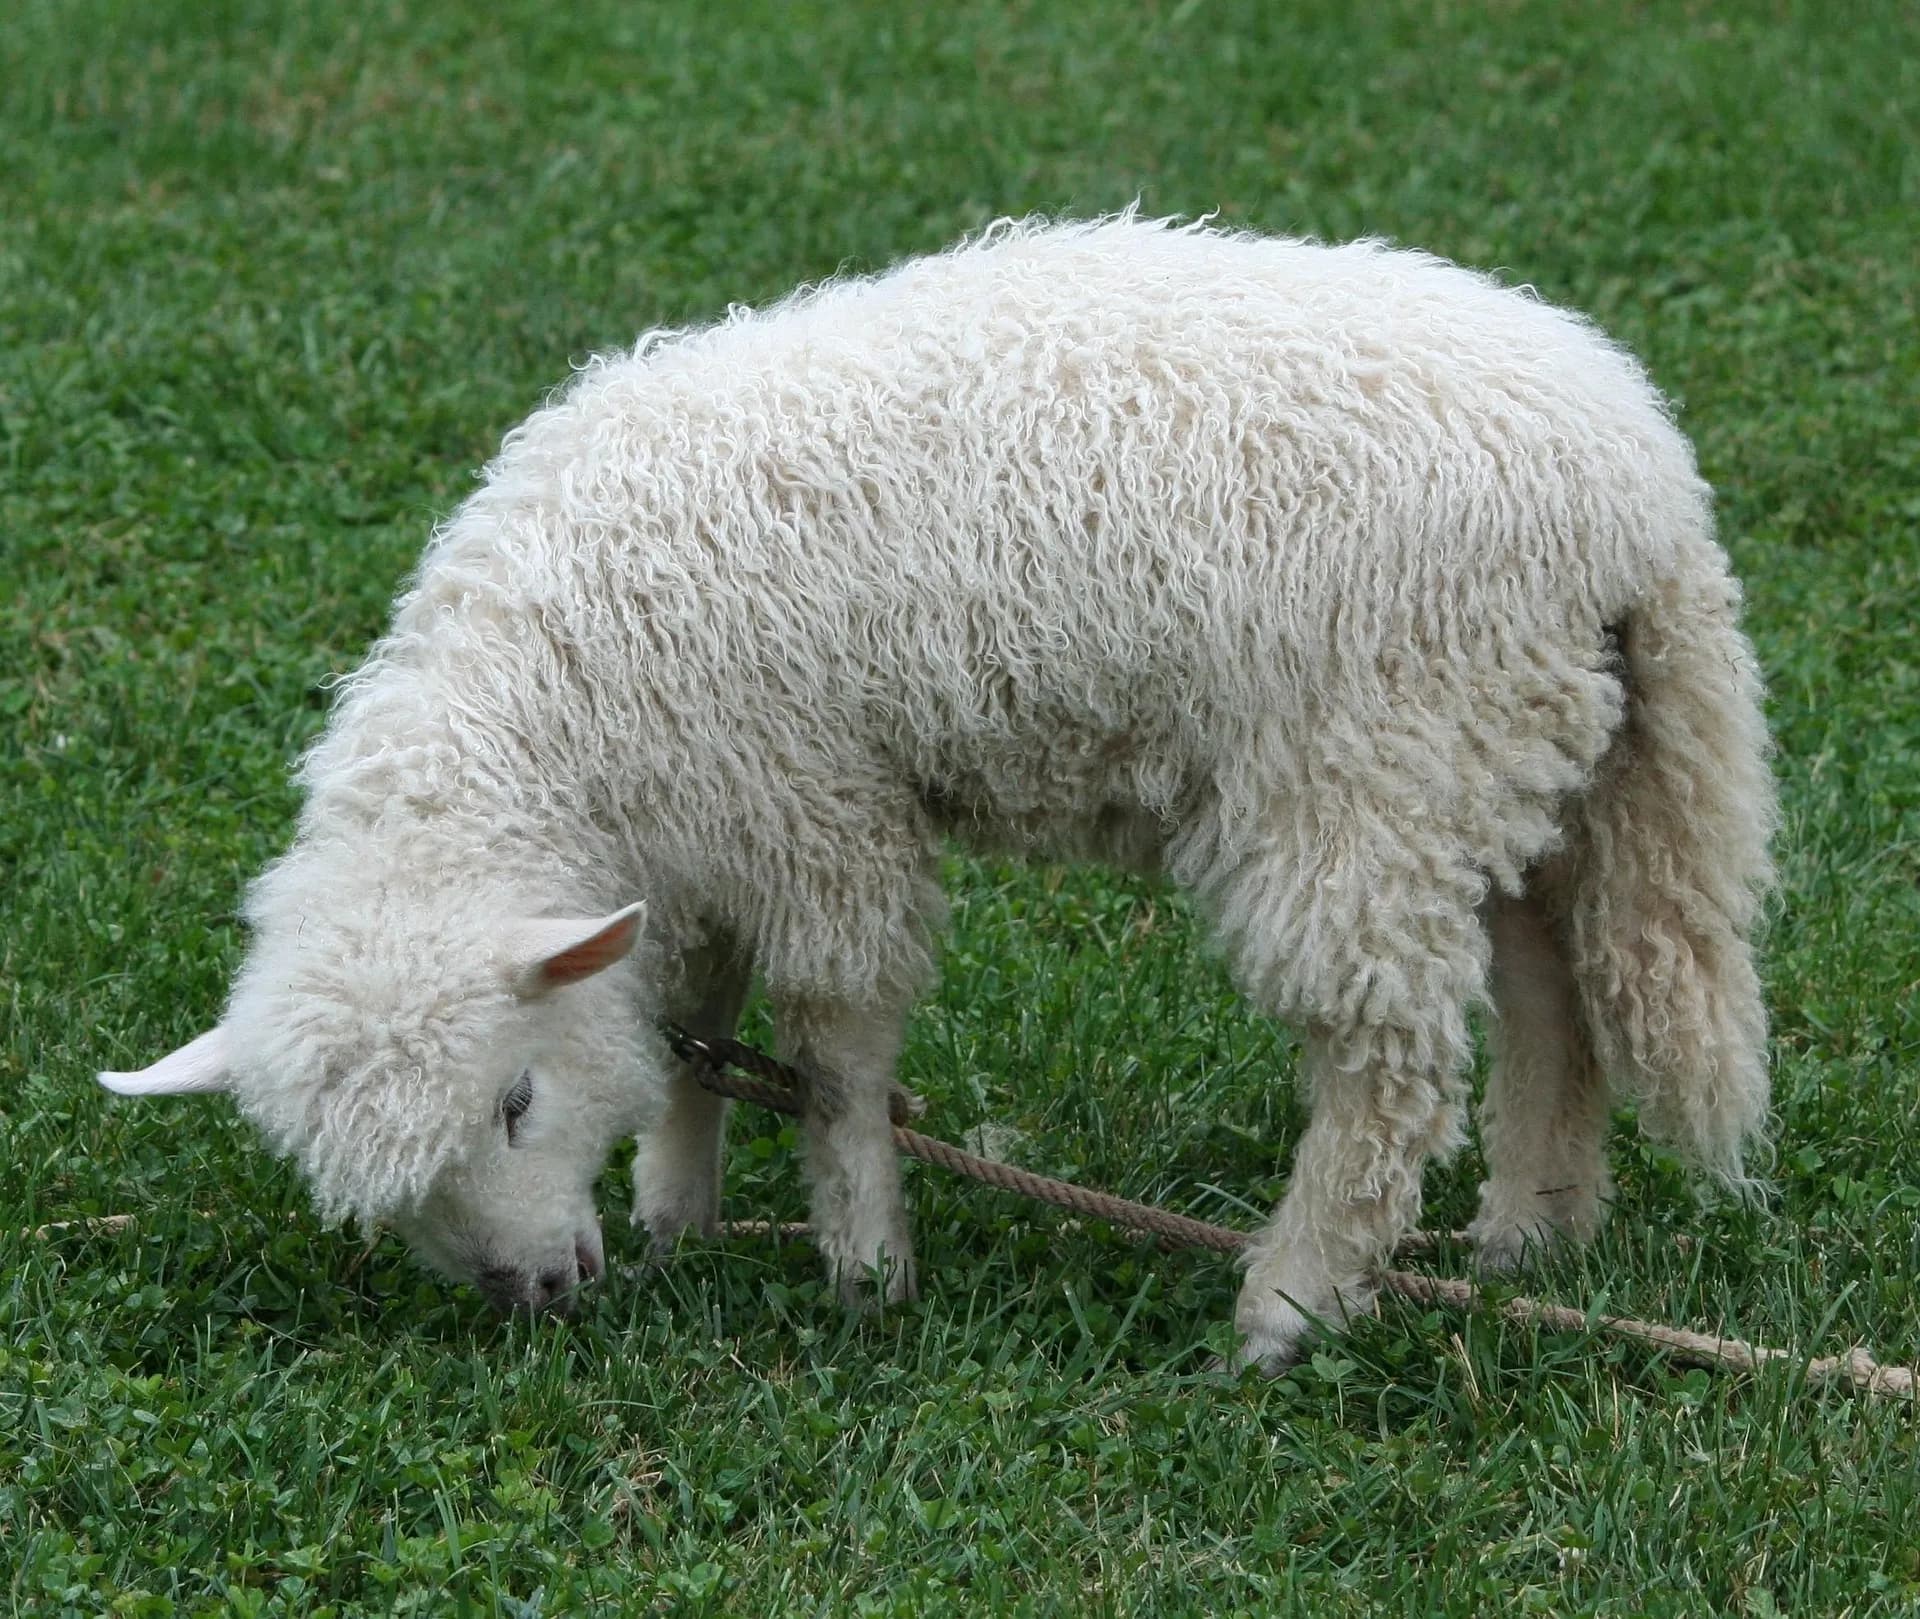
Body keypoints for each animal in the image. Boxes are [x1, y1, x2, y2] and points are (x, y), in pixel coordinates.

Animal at [99, 214, 1775, 1370]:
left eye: (513, 1098)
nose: (538, 1293)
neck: (565, 699)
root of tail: (1642, 493)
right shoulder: (702, 825)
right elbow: (697, 1015)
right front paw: (679, 1208)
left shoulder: (811, 801)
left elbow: (832, 1045)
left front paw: (862, 1263)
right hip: (1509, 750)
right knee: (1555, 990)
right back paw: (1527, 1233)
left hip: (1367, 767)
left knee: (1391, 1064)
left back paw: (1290, 1306)